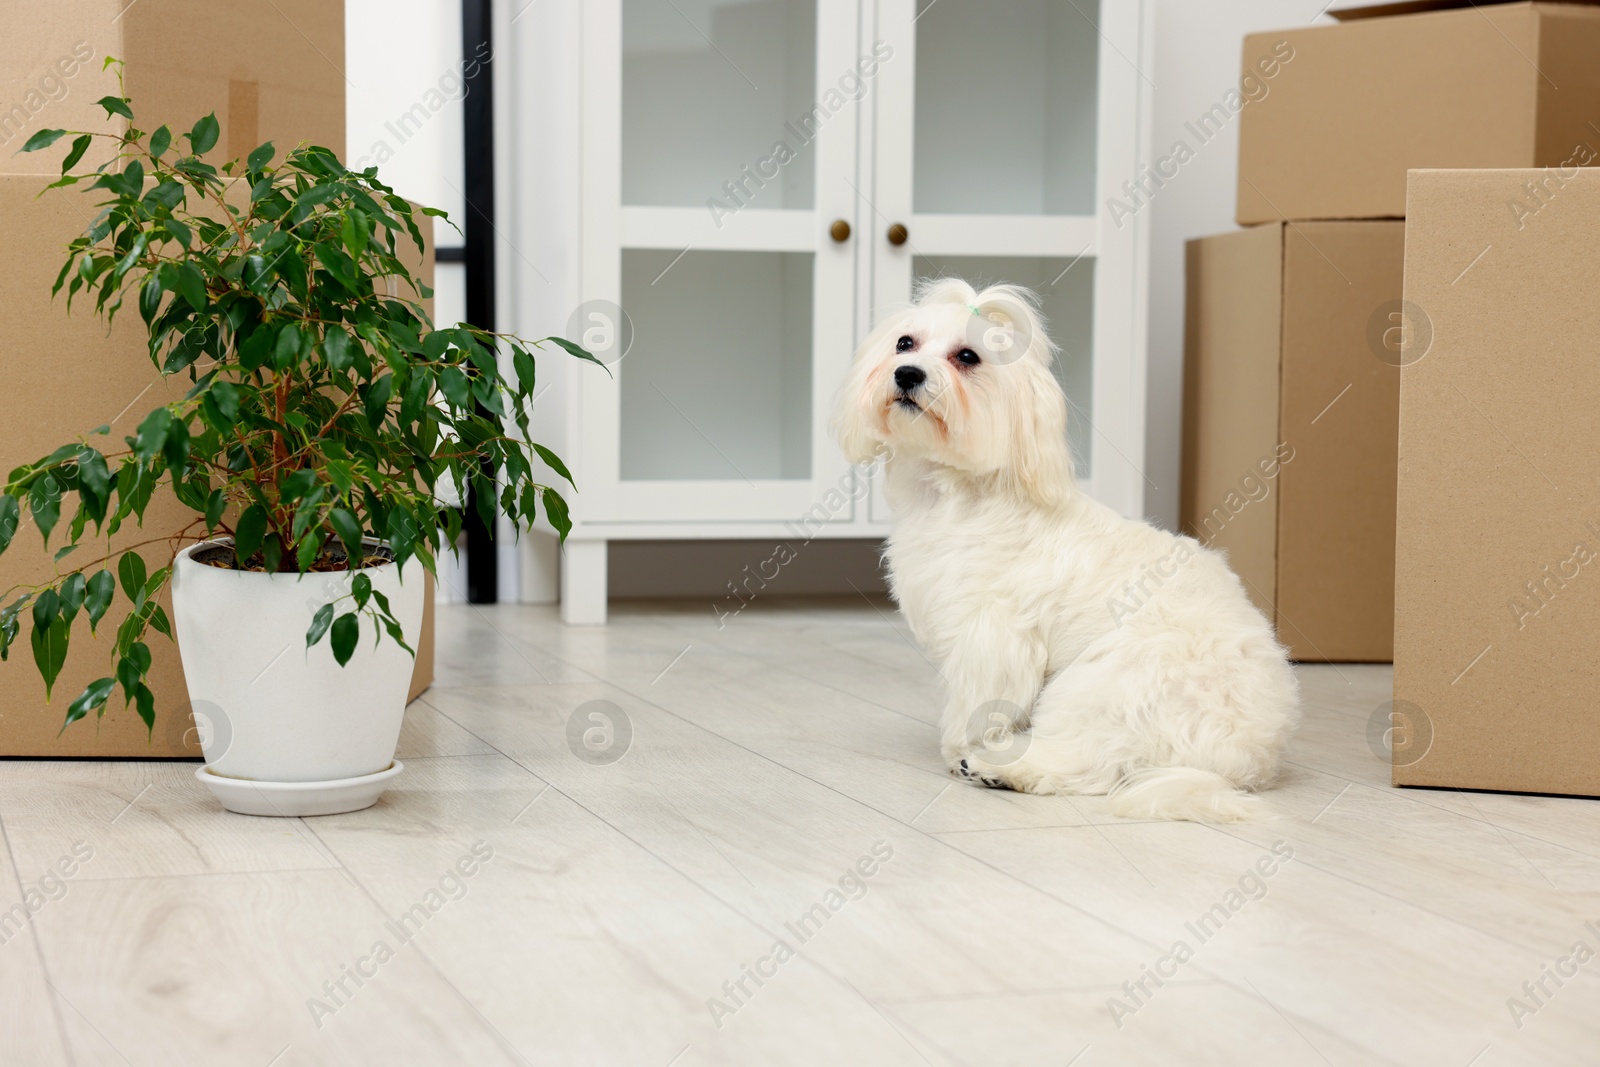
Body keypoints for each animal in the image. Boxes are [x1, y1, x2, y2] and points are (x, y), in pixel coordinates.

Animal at [838, 279, 1299, 825]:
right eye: (904, 343)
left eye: (967, 356)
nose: (907, 373)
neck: (965, 496)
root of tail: (1246, 761)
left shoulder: (993, 636)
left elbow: (976, 698)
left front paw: (959, 746)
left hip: (1103, 684)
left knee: (1086, 761)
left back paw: (1001, 767)